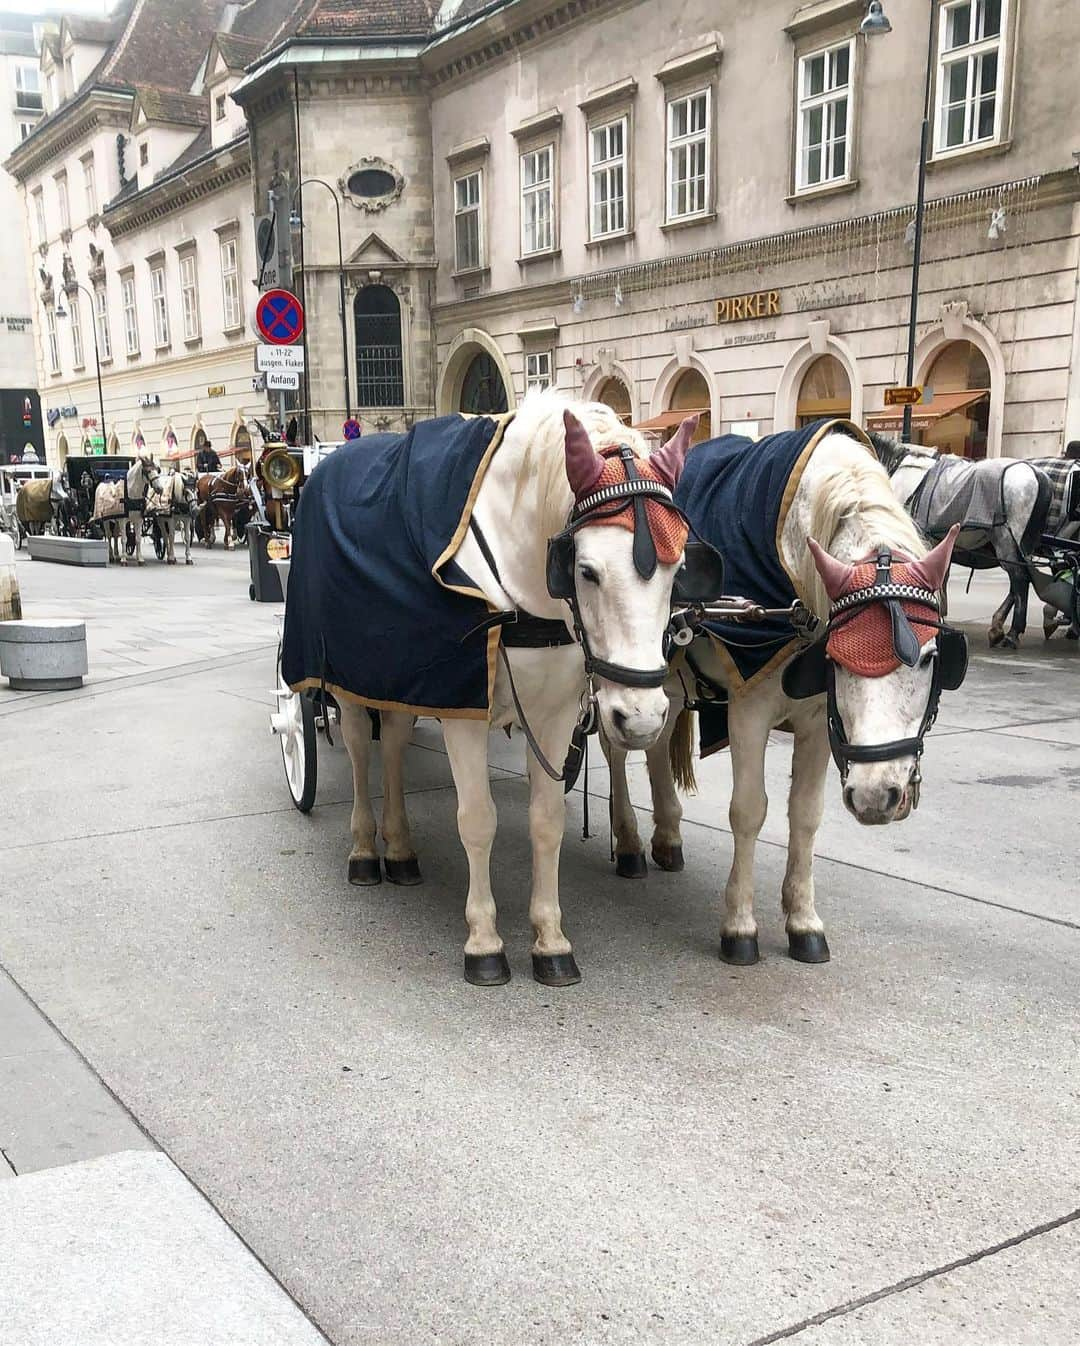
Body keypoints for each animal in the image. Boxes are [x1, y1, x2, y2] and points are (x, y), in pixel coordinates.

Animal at [605, 428, 958, 969]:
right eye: (836, 659)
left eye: (930, 658)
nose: (877, 795)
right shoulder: (748, 708)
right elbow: (749, 811)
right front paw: (740, 924)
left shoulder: (818, 720)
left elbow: (806, 815)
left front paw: (803, 919)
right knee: (618, 751)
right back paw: (626, 840)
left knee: (657, 742)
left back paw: (666, 834)